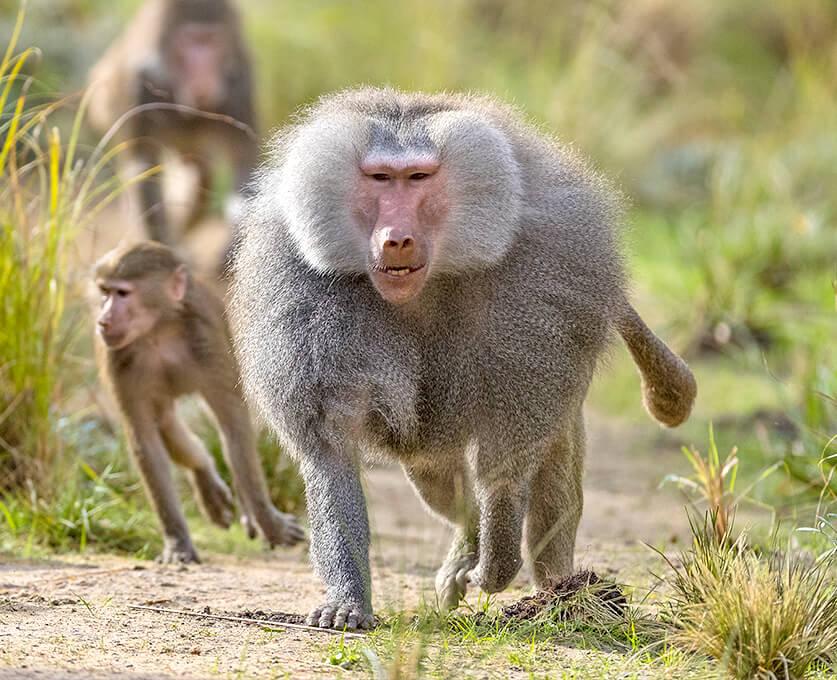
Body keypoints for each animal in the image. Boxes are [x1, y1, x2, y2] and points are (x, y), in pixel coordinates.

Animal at [87, 0, 258, 268]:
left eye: (212, 41)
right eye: (190, 42)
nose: (204, 75)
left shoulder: (240, 80)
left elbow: (242, 161)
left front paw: (234, 245)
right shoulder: (138, 85)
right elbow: (143, 164)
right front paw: (165, 250)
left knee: (202, 174)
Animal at [94, 242, 304, 564]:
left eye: (123, 293)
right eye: (105, 292)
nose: (103, 321)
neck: (159, 331)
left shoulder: (207, 342)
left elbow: (233, 427)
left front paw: (268, 521)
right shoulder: (120, 361)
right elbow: (147, 443)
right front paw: (177, 542)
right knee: (165, 420)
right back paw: (205, 473)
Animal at [227, 88, 697, 629]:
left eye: (419, 178)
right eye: (380, 178)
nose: (397, 239)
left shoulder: (539, 291)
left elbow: (509, 459)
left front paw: (497, 564)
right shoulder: (304, 297)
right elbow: (331, 451)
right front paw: (347, 601)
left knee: (549, 463)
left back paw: (561, 592)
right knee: (439, 480)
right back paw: (469, 547)